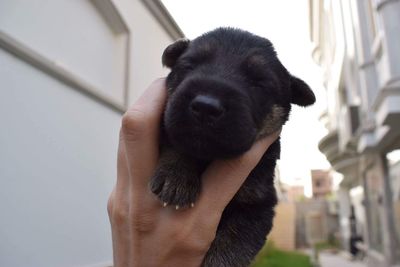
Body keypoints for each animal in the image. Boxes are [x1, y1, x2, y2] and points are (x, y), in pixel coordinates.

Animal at [150, 28, 316, 266]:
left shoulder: (257, 206)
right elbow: (176, 138)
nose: (206, 107)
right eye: (189, 66)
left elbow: (229, 249)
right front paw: (176, 176)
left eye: (259, 83)